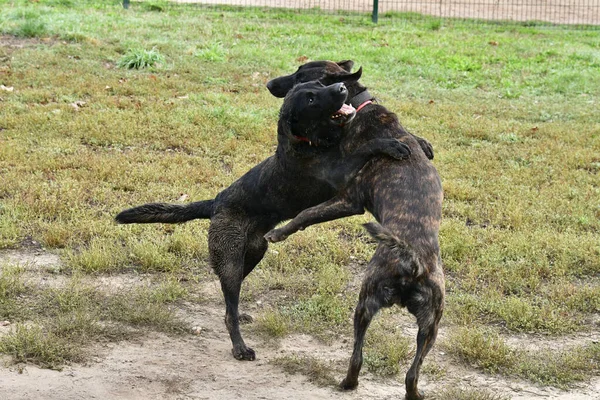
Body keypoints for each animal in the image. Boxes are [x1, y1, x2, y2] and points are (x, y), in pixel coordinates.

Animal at [264, 60, 442, 400]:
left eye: (300, 76)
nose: (270, 84)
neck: (360, 106)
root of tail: (412, 262)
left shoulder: (348, 199)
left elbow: (306, 214)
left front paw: (279, 232)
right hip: (431, 325)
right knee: (412, 373)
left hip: (365, 303)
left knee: (357, 356)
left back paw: (347, 382)